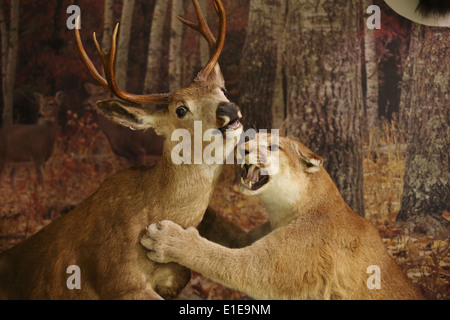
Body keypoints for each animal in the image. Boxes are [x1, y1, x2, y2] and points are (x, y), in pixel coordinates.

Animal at [142, 132, 426, 300]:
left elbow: (222, 259)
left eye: (274, 146)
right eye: (252, 138)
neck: (286, 210)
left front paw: (169, 240)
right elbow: (226, 233)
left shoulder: (271, 265)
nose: (243, 148)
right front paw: (204, 211)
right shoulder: (252, 235)